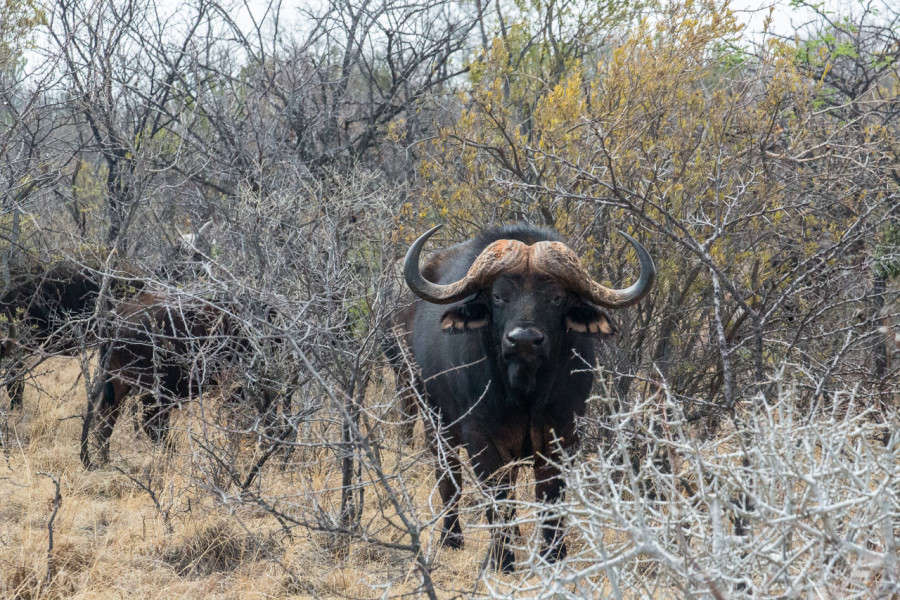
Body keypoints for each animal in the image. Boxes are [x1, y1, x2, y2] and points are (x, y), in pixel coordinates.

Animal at [80, 290, 286, 468]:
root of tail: (118, 314)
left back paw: (103, 459)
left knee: (106, 415)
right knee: (151, 423)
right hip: (155, 388)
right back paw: (173, 456)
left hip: (118, 381)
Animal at [394, 223, 652, 568]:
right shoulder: (482, 440)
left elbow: (551, 498)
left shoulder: (563, 435)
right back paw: (452, 537)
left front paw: (553, 555)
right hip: (433, 418)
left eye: (556, 298)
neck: (524, 392)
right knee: (449, 478)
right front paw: (501, 560)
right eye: (499, 296)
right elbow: (496, 498)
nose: (524, 340)